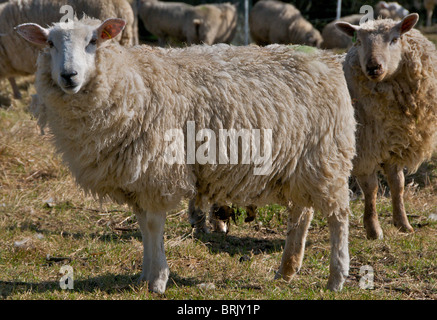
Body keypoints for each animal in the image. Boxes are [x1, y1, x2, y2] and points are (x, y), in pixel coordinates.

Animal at [0, 0, 136, 99]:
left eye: (93, 41)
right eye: (50, 43)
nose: (68, 75)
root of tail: (122, 8)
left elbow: (11, 78)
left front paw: (17, 95)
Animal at [17, 16, 356, 292]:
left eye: (93, 41)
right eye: (50, 43)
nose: (69, 76)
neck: (131, 81)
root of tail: (325, 59)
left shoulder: (156, 170)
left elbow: (154, 225)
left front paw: (158, 280)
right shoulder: (136, 177)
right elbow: (142, 226)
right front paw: (144, 274)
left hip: (328, 155)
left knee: (338, 216)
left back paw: (336, 278)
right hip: (301, 161)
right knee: (302, 212)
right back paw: (287, 270)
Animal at [334, 14, 436, 240]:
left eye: (395, 39)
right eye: (358, 41)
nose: (373, 67)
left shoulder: (394, 145)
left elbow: (398, 185)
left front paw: (403, 224)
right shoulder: (363, 149)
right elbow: (371, 189)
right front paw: (373, 229)